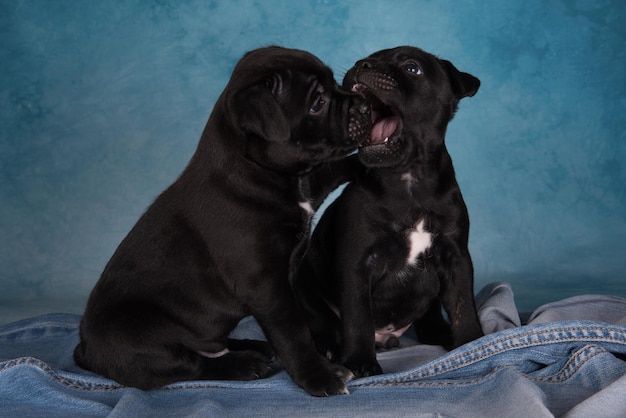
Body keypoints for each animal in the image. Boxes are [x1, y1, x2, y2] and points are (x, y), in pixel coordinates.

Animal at [72, 45, 370, 396]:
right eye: (317, 103)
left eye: (335, 82)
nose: (366, 104)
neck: (265, 173)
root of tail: (86, 349)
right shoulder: (267, 286)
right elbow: (294, 333)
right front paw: (318, 375)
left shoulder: (306, 193)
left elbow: (328, 171)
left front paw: (369, 165)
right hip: (137, 335)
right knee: (190, 363)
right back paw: (244, 364)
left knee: (210, 344)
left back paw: (252, 347)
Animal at [292, 46, 482, 378]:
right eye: (365, 59)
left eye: (412, 68)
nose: (362, 64)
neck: (407, 177)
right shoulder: (357, 262)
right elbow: (357, 318)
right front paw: (359, 360)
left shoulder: (456, 258)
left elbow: (463, 306)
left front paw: (471, 343)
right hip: (307, 289)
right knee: (323, 321)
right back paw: (329, 347)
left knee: (430, 316)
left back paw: (440, 333)